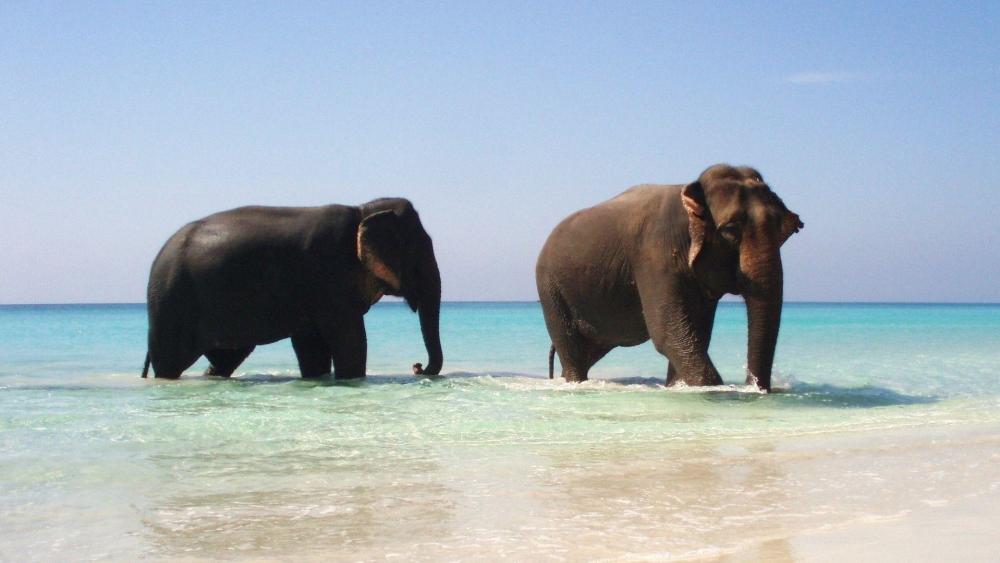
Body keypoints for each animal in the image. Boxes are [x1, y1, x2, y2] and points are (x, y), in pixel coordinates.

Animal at [141, 197, 442, 379]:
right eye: (419, 253)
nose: (417, 367)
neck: (362, 210)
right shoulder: (327, 274)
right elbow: (350, 339)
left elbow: (312, 345)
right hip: (171, 305)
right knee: (170, 362)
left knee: (227, 358)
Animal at [535, 164, 802, 391]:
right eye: (730, 230)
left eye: (782, 229)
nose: (754, 386)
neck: (689, 194)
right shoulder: (654, 255)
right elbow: (668, 332)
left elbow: (695, 333)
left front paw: (676, 387)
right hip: (550, 290)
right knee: (572, 352)